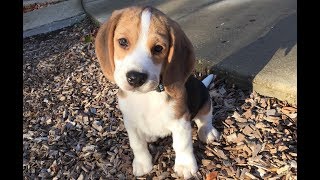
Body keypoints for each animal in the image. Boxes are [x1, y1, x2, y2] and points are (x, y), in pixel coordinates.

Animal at [95, 5, 220, 179]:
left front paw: (185, 166)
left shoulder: (180, 121)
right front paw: (142, 164)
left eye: (158, 48)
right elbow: (137, 145)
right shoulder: (130, 122)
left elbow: (182, 145)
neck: (147, 96)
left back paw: (207, 132)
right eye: (123, 42)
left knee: (205, 119)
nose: (135, 78)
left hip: (205, 102)